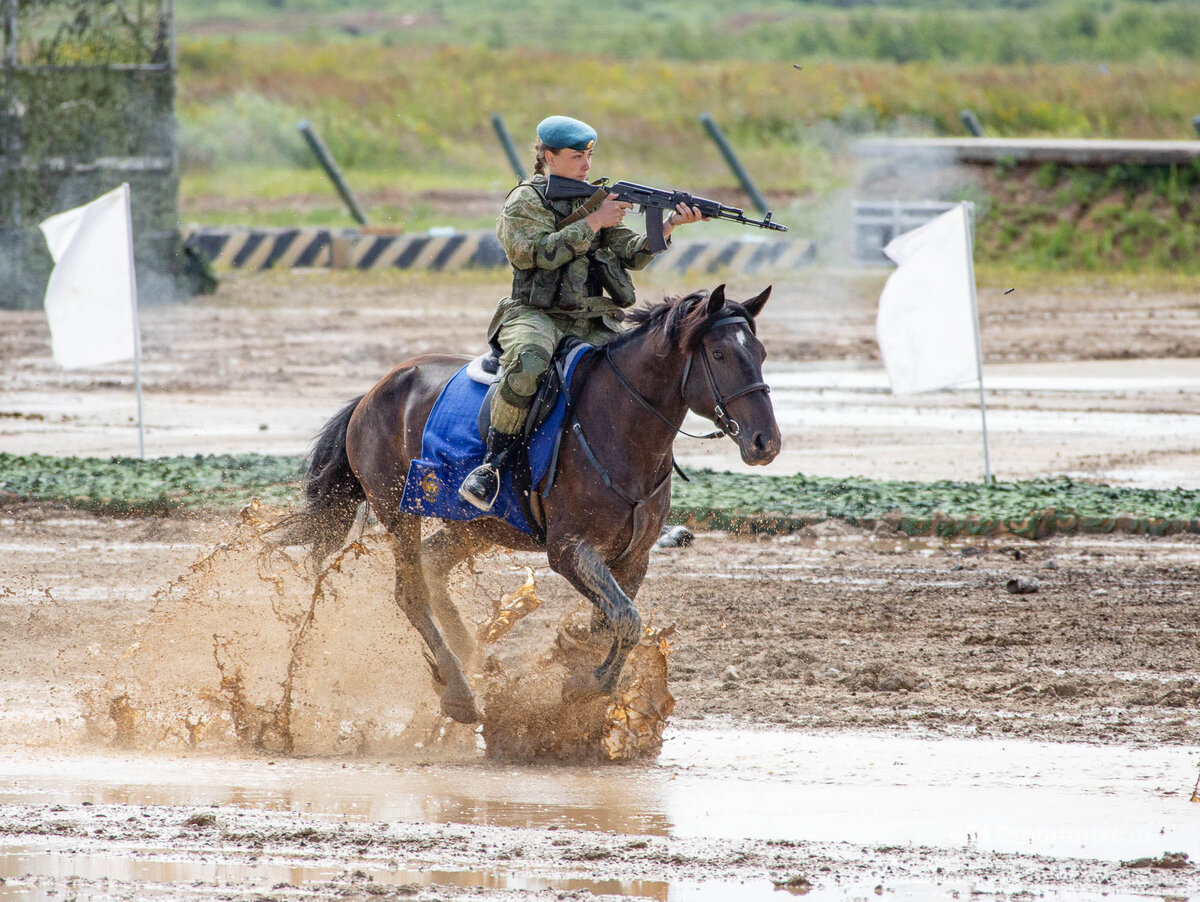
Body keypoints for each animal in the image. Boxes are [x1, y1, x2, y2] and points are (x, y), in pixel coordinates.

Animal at [282, 285, 787, 724]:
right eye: (719, 354)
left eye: (761, 354)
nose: (766, 442)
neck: (619, 424)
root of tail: (374, 393)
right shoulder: (569, 551)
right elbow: (628, 620)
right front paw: (584, 686)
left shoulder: (631, 559)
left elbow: (612, 623)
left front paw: (581, 685)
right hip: (398, 511)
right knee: (412, 593)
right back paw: (458, 690)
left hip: (474, 524)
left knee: (432, 565)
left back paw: (473, 659)